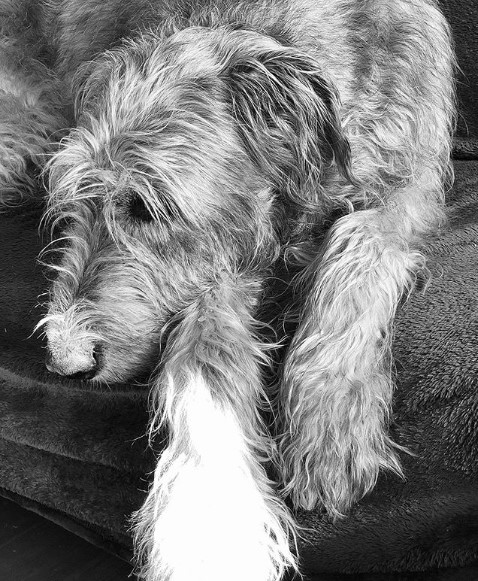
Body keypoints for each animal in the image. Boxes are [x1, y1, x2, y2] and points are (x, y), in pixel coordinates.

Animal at [0, 0, 456, 576]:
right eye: (74, 203)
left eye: (149, 207)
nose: (64, 361)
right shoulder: (225, 259)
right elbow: (205, 351)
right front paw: (213, 524)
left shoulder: (409, 185)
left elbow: (361, 239)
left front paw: (331, 420)